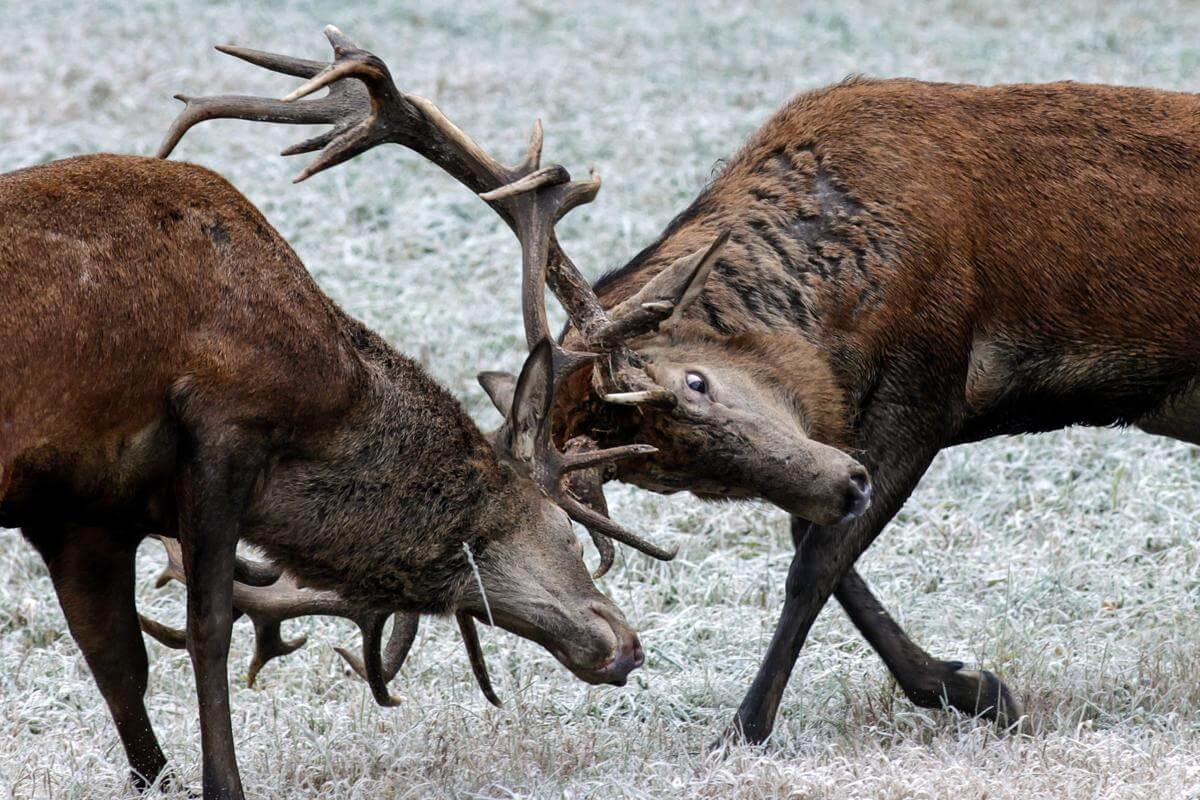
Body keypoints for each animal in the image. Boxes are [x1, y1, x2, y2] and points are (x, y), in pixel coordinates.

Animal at [0, 50, 710, 796]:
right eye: (566, 531)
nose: (622, 646)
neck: (332, 389)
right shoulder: (226, 425)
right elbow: (207, 629)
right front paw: (226, 783)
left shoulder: (80, 516)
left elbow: (116, 663)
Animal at [162, 26, 1200, 753]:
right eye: (683, 479)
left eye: (696, 380)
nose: (846, 481)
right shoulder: (848, 428)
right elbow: (828, 549)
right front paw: (968, 687)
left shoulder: (932, 371)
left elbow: (816, 561)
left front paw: (746, 727)